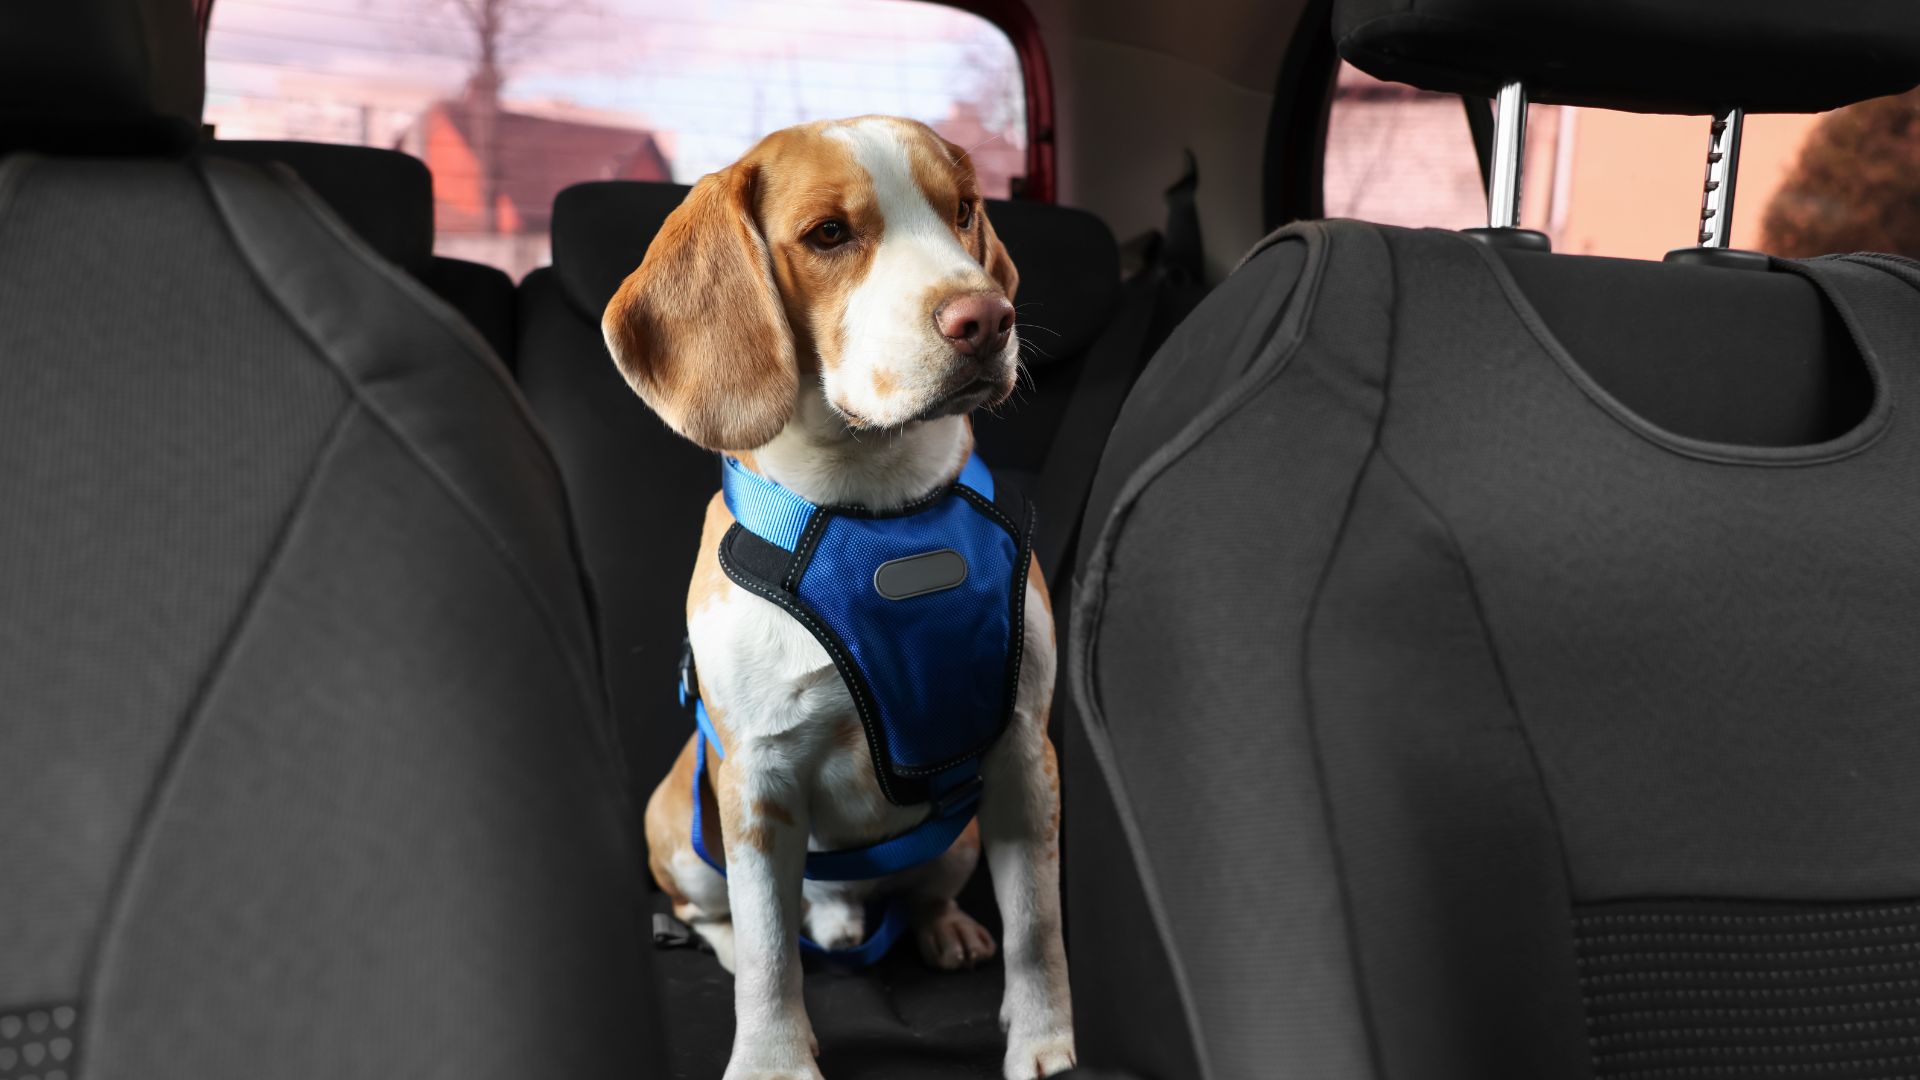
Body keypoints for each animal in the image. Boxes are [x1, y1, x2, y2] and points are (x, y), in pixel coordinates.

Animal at [599, 113, 1075, 1068]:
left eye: (963, 211)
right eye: (827, 235)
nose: (986, 319)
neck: (878, 510)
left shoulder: (1021, 753)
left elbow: (1038, 924)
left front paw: (1045, 1045)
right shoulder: (758, 784)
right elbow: (770, 955)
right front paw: (772, 1060)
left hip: (962, 836)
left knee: (922, 889)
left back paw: (940, 927)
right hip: (688, 829)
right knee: (724, 917)